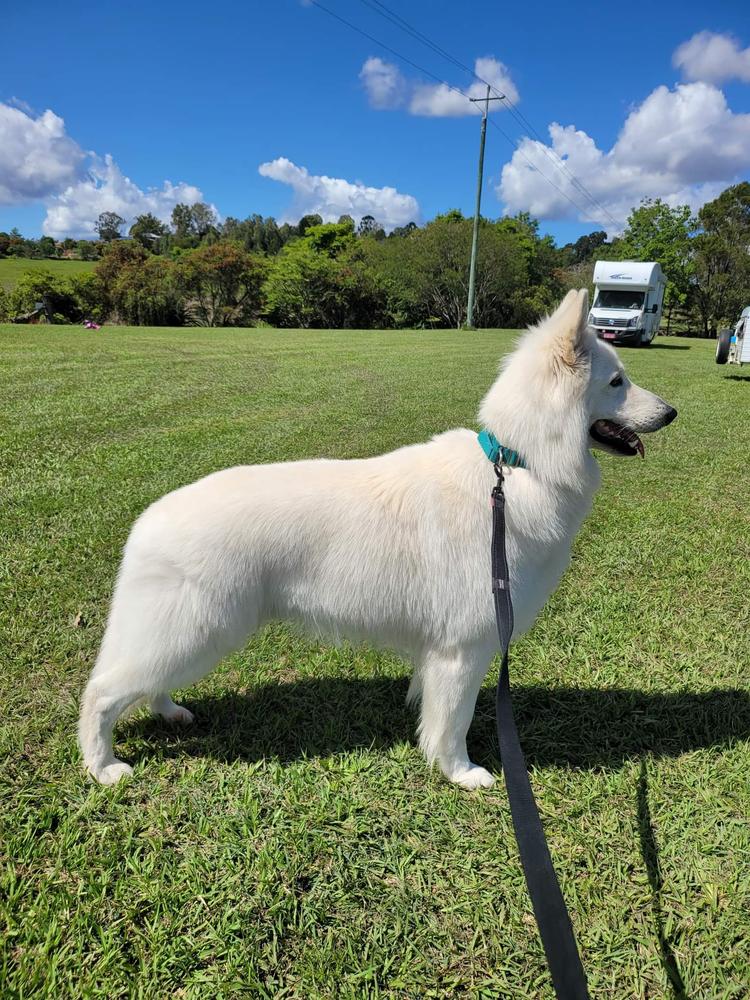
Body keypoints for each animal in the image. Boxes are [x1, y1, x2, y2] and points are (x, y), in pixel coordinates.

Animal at [79, 290, 680, 788]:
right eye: (617, 383)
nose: (672, 412)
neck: (515, 468)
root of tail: (148, 519)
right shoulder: (465, 650)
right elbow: (454, 721)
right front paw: (460, 772)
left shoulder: (443, 652)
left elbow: (432, 705)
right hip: (196, 629)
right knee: (100, 693)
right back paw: (102, 766)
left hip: (190, 633)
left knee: (146, 681)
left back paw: (168, 712)